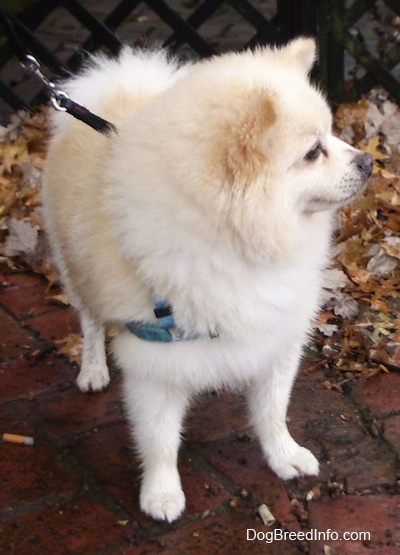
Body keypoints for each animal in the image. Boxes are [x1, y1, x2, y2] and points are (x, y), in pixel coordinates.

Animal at [43, 38, 372, 520]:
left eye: (332, 133)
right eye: (314, 151)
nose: (369, 161)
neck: (233, 242)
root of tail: (117, 88)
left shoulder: (276, 332)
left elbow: (273, 410)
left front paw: (284, 455)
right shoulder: (153, 358)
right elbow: (159, 438)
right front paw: (161, 492)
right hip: (74, 268)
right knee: (89, 321)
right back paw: (92, 369)